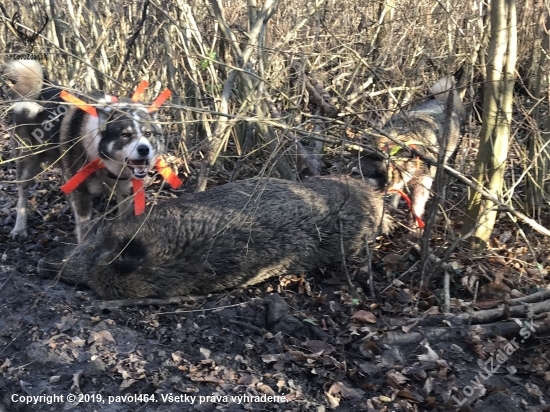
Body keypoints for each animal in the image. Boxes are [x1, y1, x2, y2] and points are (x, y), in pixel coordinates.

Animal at [2, 59, 166, 243]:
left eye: (148, 134)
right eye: (125, 135)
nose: (144, 150)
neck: (103, 161)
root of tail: (43, 87)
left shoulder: (125, 191)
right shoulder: (82, 192)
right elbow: (84, 227)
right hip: (27, 163)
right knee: (22, 196)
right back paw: (19, 228)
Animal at [352, 77, 464, 225]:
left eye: (355, 173)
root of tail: (440, 99)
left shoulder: (425, 178)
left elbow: (418, 200)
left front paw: (414, 218)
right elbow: (398, 192)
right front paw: (393, 206)